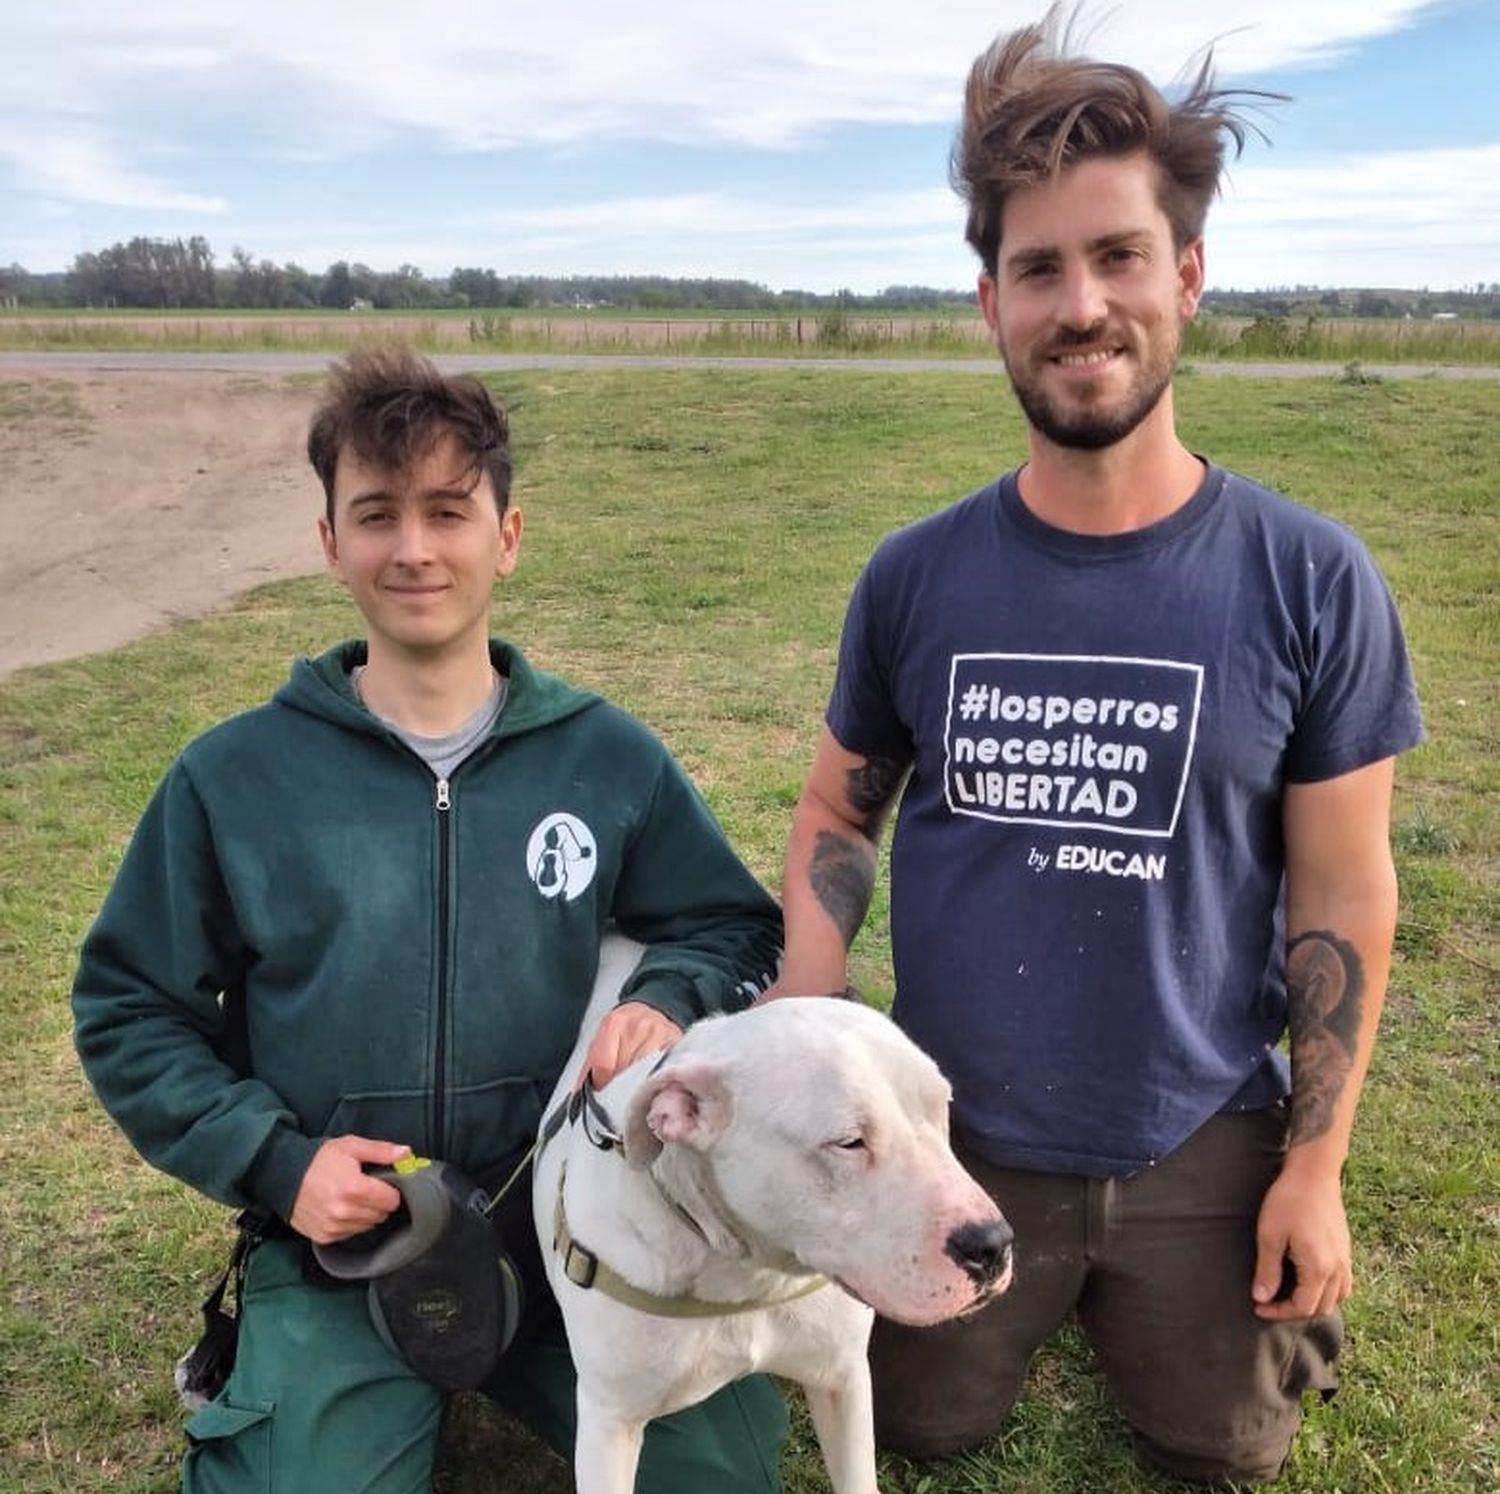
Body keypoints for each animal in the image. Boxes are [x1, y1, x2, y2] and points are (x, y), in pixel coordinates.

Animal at [534, 936, 1014, 1494]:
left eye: (942, 1106)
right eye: (849, 1142)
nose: (991, 1244)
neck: (747, 1275)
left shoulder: (843, 1380)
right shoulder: (609, 1426)